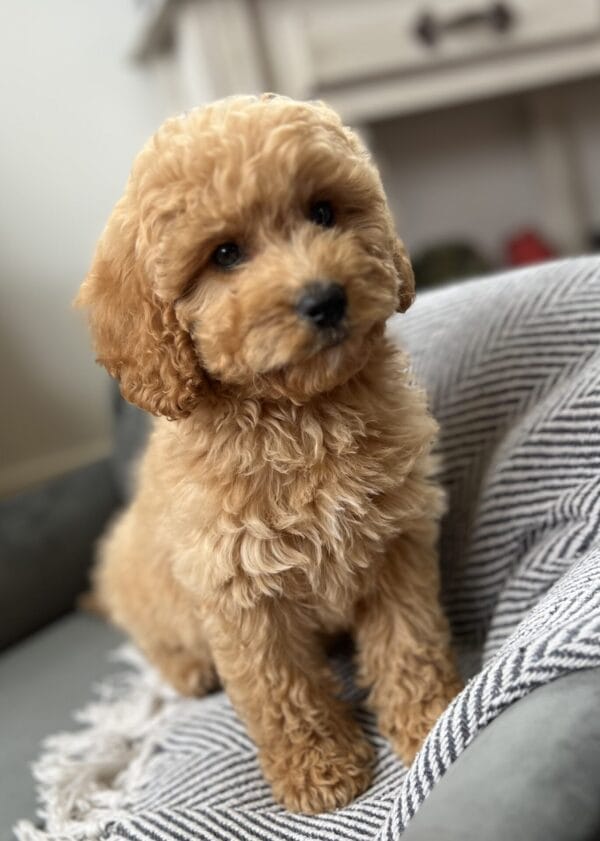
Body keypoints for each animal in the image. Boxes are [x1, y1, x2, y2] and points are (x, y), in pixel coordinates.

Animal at [77, 95, 462, 812]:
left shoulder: (396, 544)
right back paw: (189, 669)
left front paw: (431, 718)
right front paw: (319, 769)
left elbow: (409, 640)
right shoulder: (240, 591)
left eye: (323, 212)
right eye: (225, 253)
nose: (325, 297)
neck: (301, 414)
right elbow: (281, 687)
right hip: (143, 588)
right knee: (155, 643)